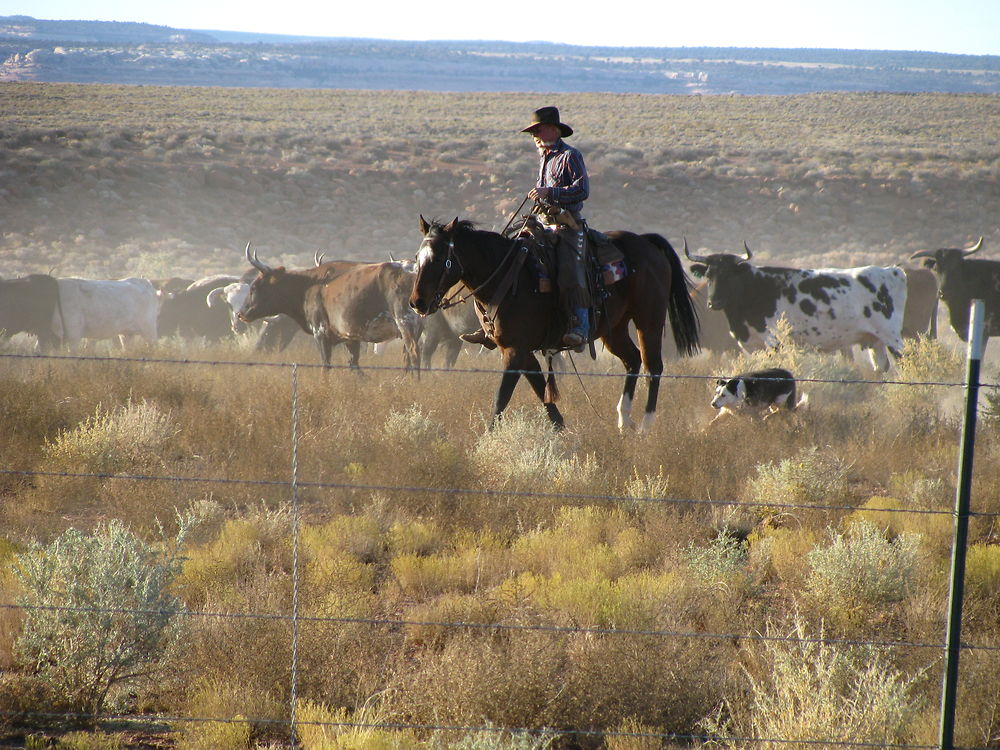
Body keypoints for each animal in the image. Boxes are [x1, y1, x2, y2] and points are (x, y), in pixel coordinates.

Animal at [410, 216, 700, 428]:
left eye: (440, 259)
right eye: (416, 258)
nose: (417, 302)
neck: (508, 278)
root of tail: (646, 242)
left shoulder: (515, 351)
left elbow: (501, 399)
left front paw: (485, 441)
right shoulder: (521, 352)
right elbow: (544, 395)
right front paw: (563, 432)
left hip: (648, 319)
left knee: (653, 366)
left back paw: (645, 426)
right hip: (614, 329)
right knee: (633, 359)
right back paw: (623, 419)